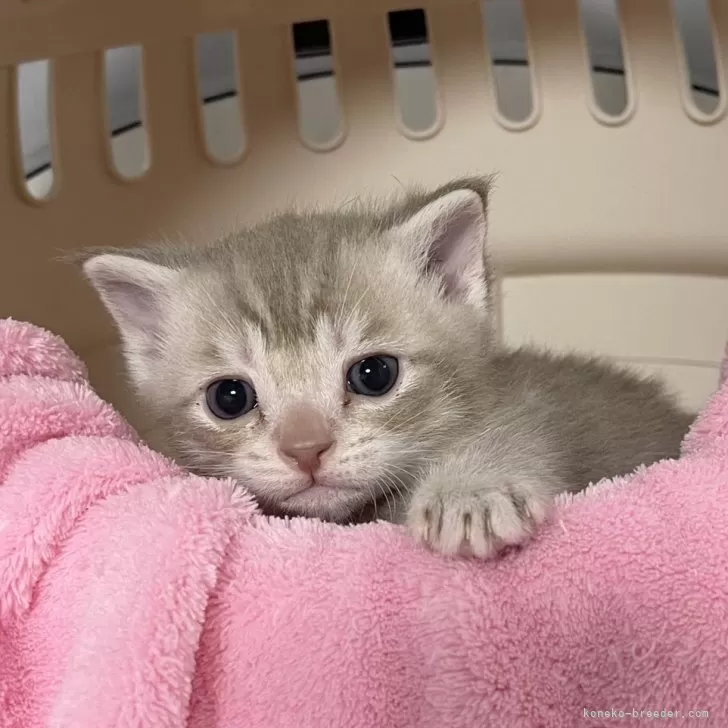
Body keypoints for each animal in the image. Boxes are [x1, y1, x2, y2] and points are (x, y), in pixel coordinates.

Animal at [81, 179, 692, 560]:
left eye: (374, 374)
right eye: (229, 398)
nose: (305, 449)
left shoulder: (533, 402)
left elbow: (524, 431)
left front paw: (470, 495)